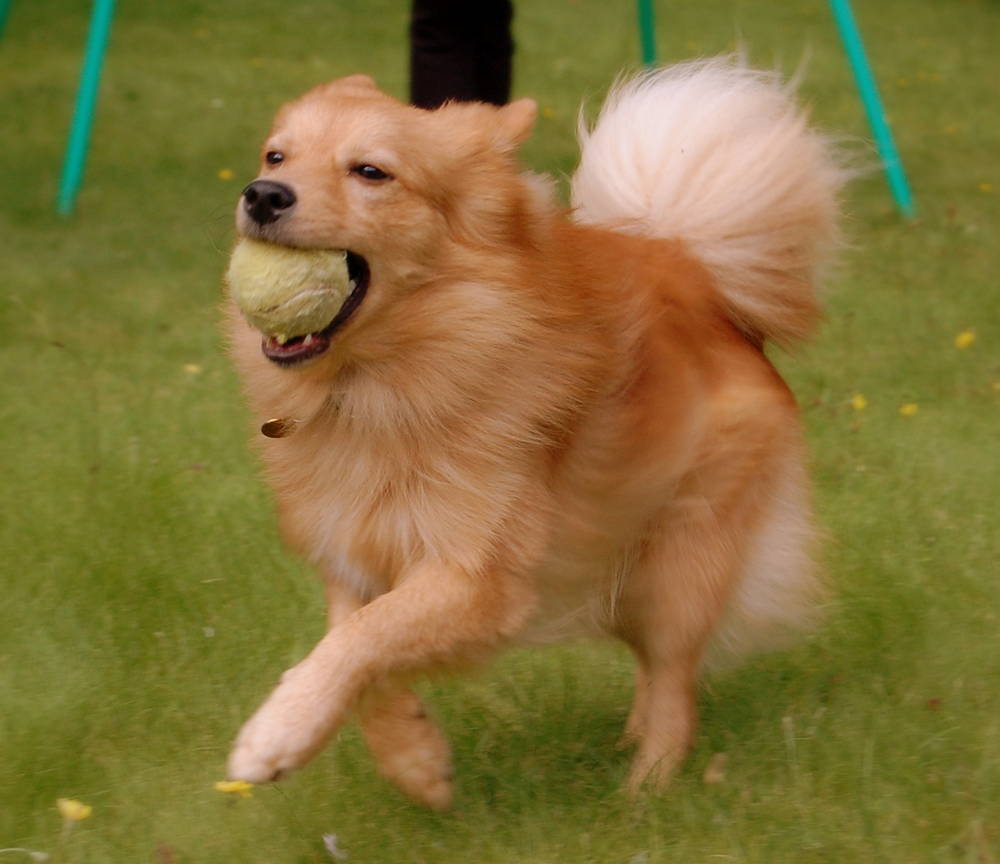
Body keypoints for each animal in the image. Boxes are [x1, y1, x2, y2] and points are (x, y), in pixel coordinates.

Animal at [221, 57, 844, 808]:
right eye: (275, 157)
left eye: (371, 172)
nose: (262, 195)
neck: (381, 384)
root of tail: (698, 275)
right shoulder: (353, 554)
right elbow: (356, 649)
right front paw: (413, 757)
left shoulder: (478, 574)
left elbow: (364, 639)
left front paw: (275, 732)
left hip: (682, 560)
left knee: (674, 679)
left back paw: (644, 790)